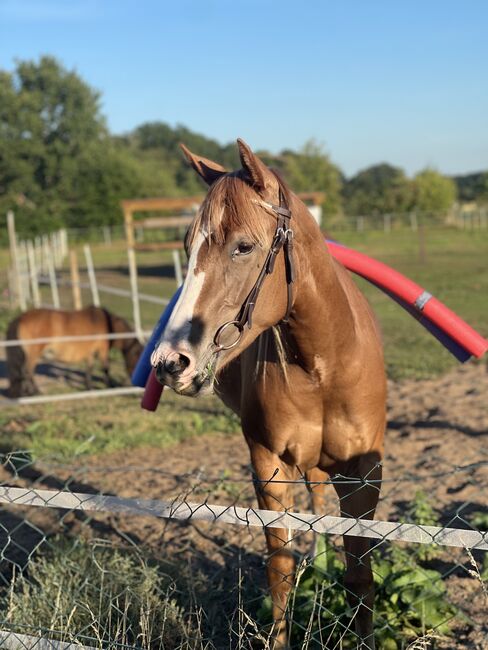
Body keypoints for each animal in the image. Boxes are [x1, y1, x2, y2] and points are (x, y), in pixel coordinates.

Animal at [6, 306, 143, 398]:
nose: (136, 386)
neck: (107, 324)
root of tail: (21, 317)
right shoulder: (102, 350)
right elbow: (105, 368)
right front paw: (109, 387)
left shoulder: (90, 352)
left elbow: (89, 369)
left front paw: (89, 387)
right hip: (34, 354)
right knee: (28, 371)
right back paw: (35, 392)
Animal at [150, 139, 386, 644]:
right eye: (188, 246)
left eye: (244, 246)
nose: (169, 362)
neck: (322, 365)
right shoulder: (268, 464)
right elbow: (279, 568)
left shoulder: (363, 475)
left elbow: (360, 576)